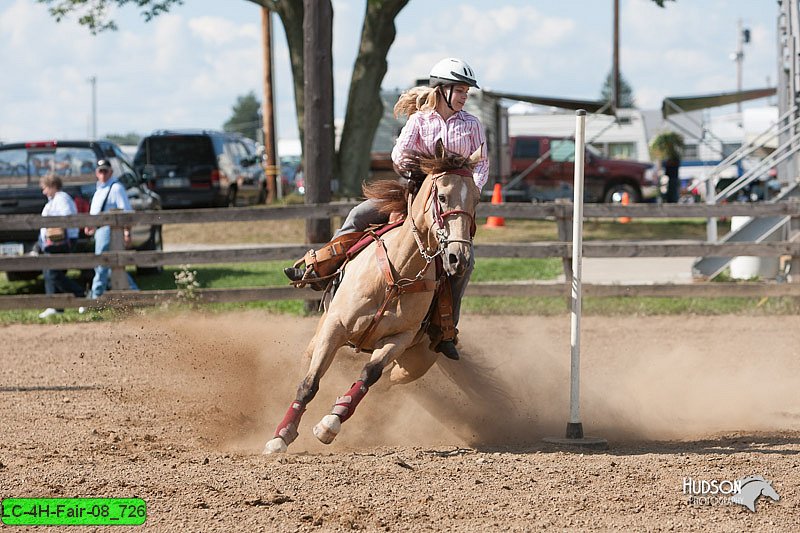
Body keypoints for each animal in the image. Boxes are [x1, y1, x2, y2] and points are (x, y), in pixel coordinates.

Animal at [266, 145, 484, 454]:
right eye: (442, 196)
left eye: (476, 199)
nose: (458, 258)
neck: (399, 274)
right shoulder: (334, 328)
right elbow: (309, 384)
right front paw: (280, 436)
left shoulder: (399, 339)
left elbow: (369, 374)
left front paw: (330, 423)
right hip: (319, 337)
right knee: (307, 366)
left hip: (414, 365)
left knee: (386, 383)